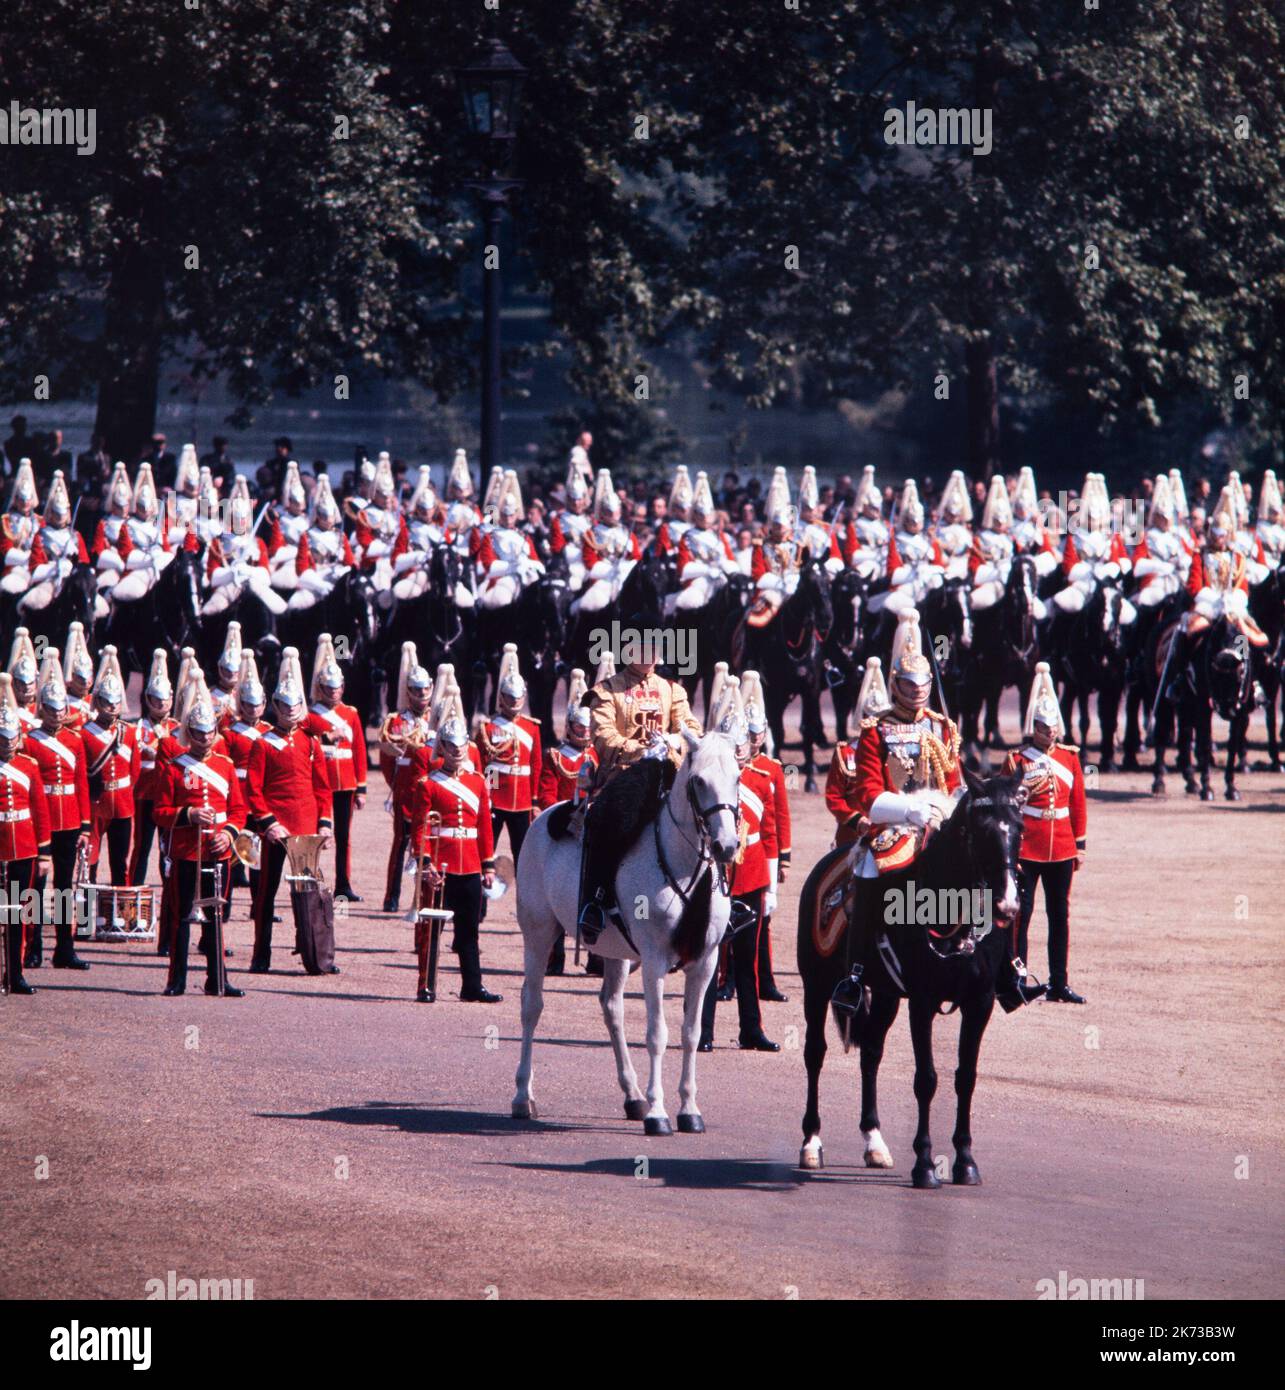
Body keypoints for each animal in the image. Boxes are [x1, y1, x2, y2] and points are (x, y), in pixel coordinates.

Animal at [508, 733, 739, 1134]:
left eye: (738, 778)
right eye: (698, 781)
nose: (726, 846)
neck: (684, 869)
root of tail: (546, 817)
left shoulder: (705, 962)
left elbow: (691, 1034)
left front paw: (689, 1109)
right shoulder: (654, 960)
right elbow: (657, 1034)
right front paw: (659, 1113)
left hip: (615, 953)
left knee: (611, 1008)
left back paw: (632, 1096)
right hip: (538, 934)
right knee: (531, 1006)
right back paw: (524, 1096)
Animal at [745, 556, 834, 795]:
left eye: (829, 581)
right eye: (808, 582)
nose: (826, 619)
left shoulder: (810, 690)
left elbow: (807, 729)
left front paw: (811, 779)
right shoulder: (774, 688)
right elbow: (775, 728)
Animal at [795, 767, 1029, 1189]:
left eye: (1019, 826)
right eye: (980, 829)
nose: (1007, 904)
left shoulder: (980, 1002)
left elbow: (965, 1077)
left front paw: (965, 1161)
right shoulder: (922, 1001)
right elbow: (927, 1079)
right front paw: (924, 1165)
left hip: (886, 995)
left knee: (871, 1053)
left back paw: (874, 1142)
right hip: (816, 987)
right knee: (815, 1053)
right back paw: (811, 1142)